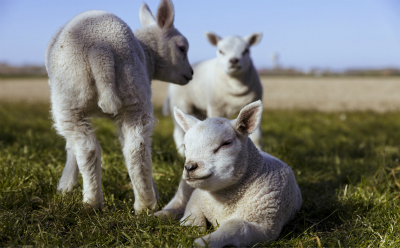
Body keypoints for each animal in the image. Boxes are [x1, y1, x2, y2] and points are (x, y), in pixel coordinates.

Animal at [44, 0, 193, 213]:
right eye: (182, 48)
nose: (191, 73)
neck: (148, 54)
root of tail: (101, 51)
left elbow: (71, 148)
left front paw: (66, 185)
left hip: (69, 101)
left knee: (87, 149)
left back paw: (92, 202)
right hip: (134, 94)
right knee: (136, 149)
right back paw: (145, 204)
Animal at [156, 100, 300, 246]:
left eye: (226, 143)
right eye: (185, 146)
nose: (190, 167)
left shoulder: (267, 228)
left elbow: (235, 225)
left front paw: (201, 242)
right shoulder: (197, 195)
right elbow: (192, 213)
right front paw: (190, 227)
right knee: (178, 201)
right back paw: (158, 215)